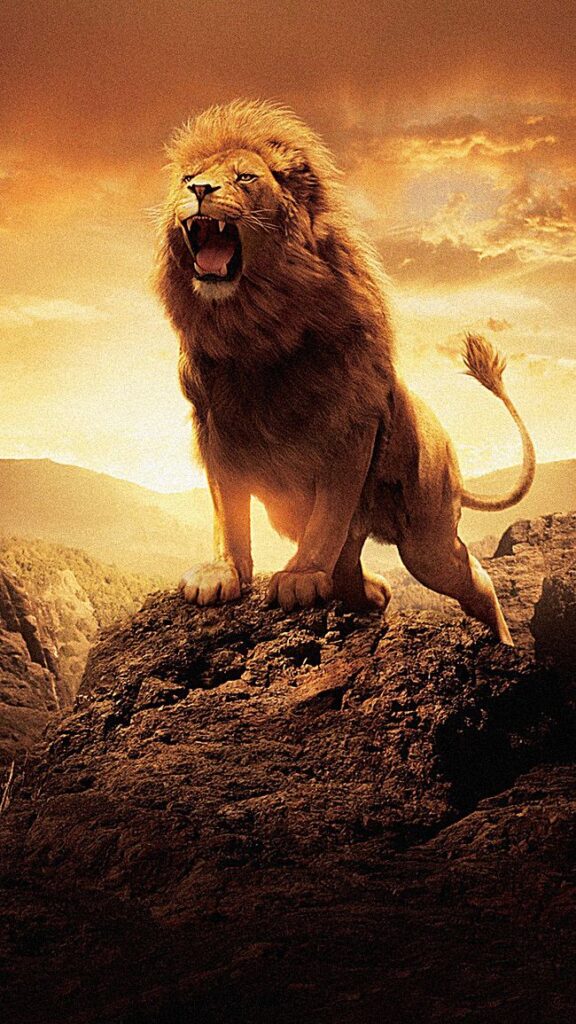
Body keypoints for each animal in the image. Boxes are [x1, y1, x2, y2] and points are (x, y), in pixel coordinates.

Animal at [154, 99, 535, 645]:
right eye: (188, 178)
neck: (255, 327)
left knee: (471, 577)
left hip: (428, 538)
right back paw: (372, 592)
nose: (200, 191)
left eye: (245, 177)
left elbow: (329, 515)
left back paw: (504, 644)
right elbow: (228, 510)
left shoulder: (349, 426)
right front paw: (221, 572)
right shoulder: (217, 427)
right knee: (357, 570)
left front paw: (300, 577)